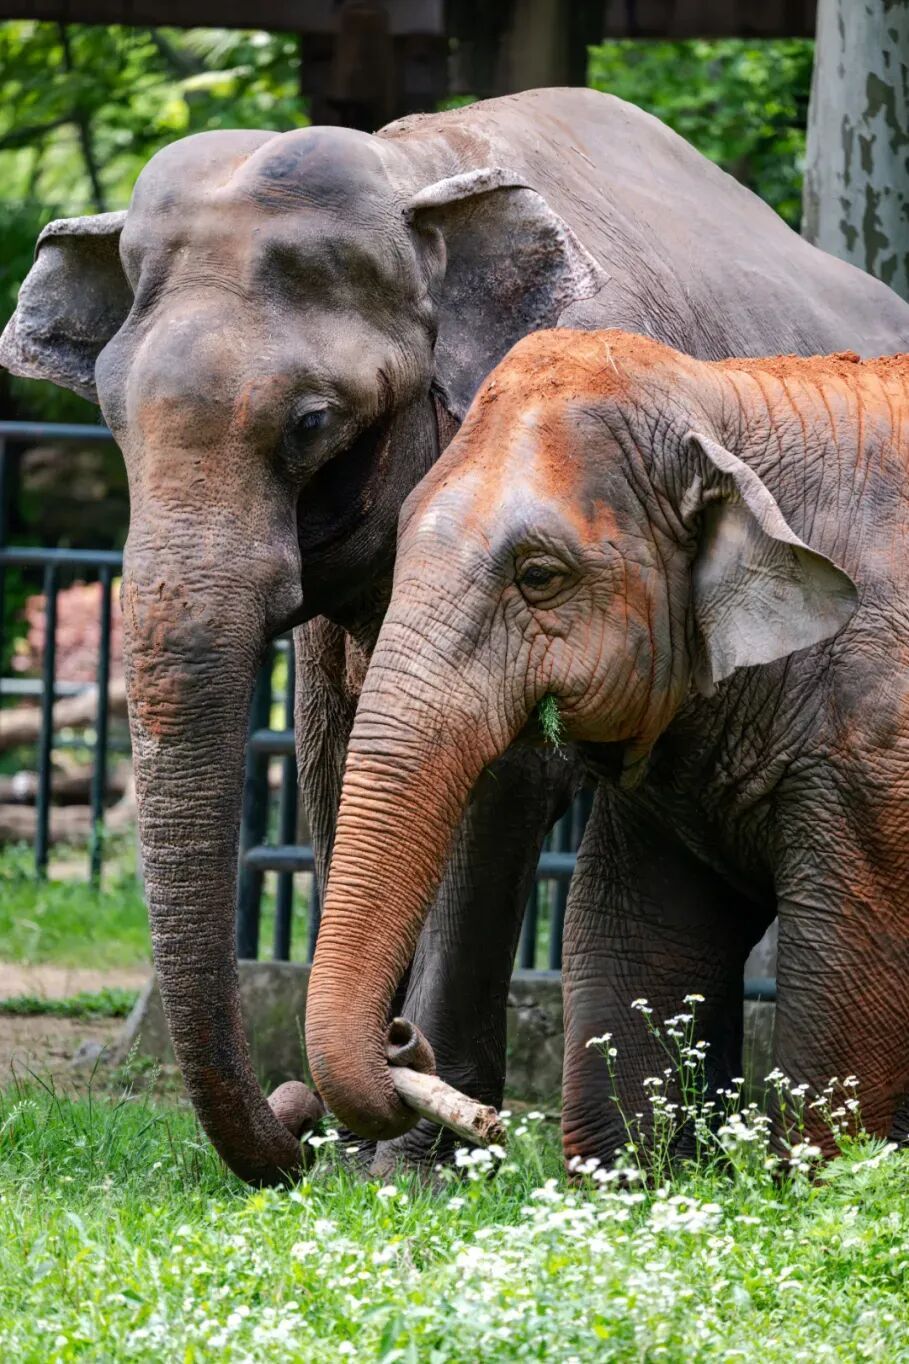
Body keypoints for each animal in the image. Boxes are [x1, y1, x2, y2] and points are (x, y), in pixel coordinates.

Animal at [306, 328, 909, 1165]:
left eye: (537, 576)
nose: (402, 1039)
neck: (723, 400)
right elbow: (629, 936)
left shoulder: (874, 753)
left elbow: (845, 982)